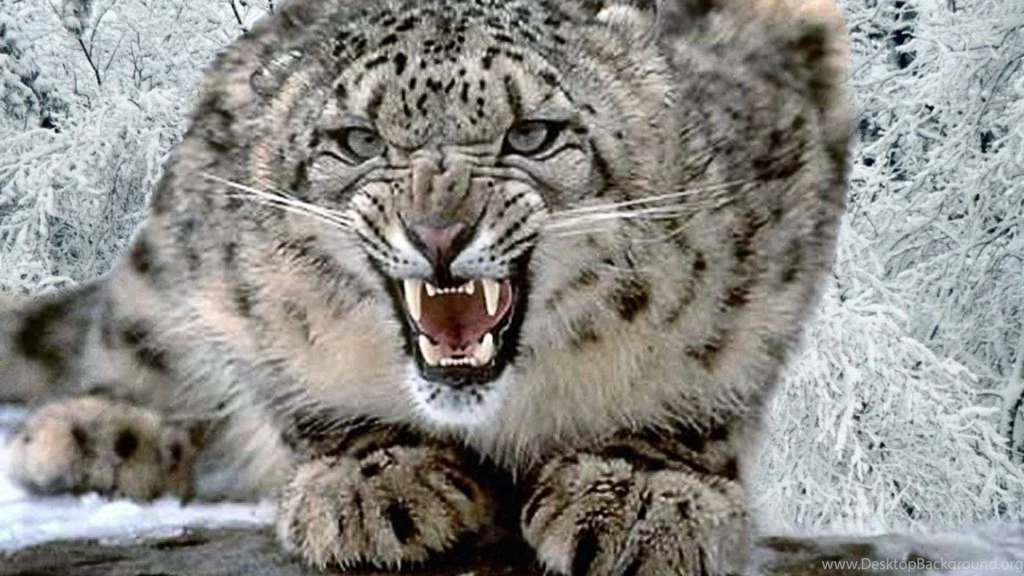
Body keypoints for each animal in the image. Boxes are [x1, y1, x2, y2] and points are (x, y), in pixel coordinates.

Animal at [0, 0, 853, 573]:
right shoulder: (234, 267)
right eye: (358, 141)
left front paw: (640, 490)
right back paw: (98, 433)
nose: (439, 233)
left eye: (532, 134)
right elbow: (284, 374)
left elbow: (722, 359)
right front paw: (374, 482)